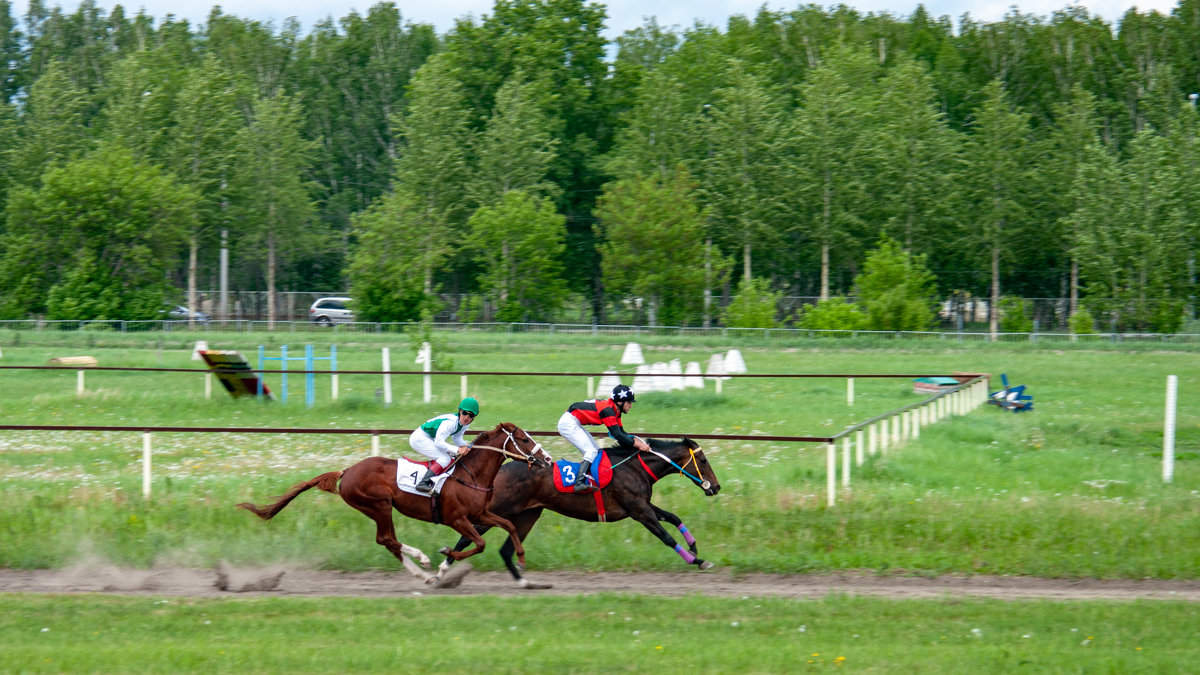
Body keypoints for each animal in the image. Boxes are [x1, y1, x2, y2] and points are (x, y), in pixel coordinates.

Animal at [235, 420, 552, 583]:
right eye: (524, 439)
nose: (547, 459)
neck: (470, 474)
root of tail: (347, 471)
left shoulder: (481, 514)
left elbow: (509, 525)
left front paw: (521, 561)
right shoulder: (457, 519)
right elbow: (480, 543)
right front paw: (443, 557)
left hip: (378, 507)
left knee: (388, 541)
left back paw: (421, 570)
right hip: (379, 505)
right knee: (386, 538)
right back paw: (422, 563)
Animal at [444, 437, 715, 583]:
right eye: (703, 461)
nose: (716, 487)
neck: (633, 468)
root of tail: (500, 470)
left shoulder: (643, 506)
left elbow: (673, 517)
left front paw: (693, 546)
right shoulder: (639, 511)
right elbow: (666, 536)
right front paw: (698, 560)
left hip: (527, 515)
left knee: (506, 549)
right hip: (500, 509)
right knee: (467, 536)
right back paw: (444, 568)